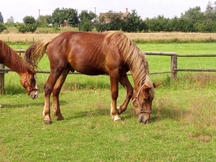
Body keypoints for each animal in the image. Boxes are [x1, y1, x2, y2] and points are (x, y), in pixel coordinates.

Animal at [25, 31, 160, 124]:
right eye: (146, 99)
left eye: (152, 99)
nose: (146, 120)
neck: (120, 49)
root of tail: (52, 40)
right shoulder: (114, 73)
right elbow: (114, 93)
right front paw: (115, 115)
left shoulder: (121, 74)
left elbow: (130, 91)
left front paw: (119, 109)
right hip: (56, 69)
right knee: (48, 88)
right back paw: (47, 117)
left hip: (64, 71)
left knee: (56, 90)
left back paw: (58, 115)